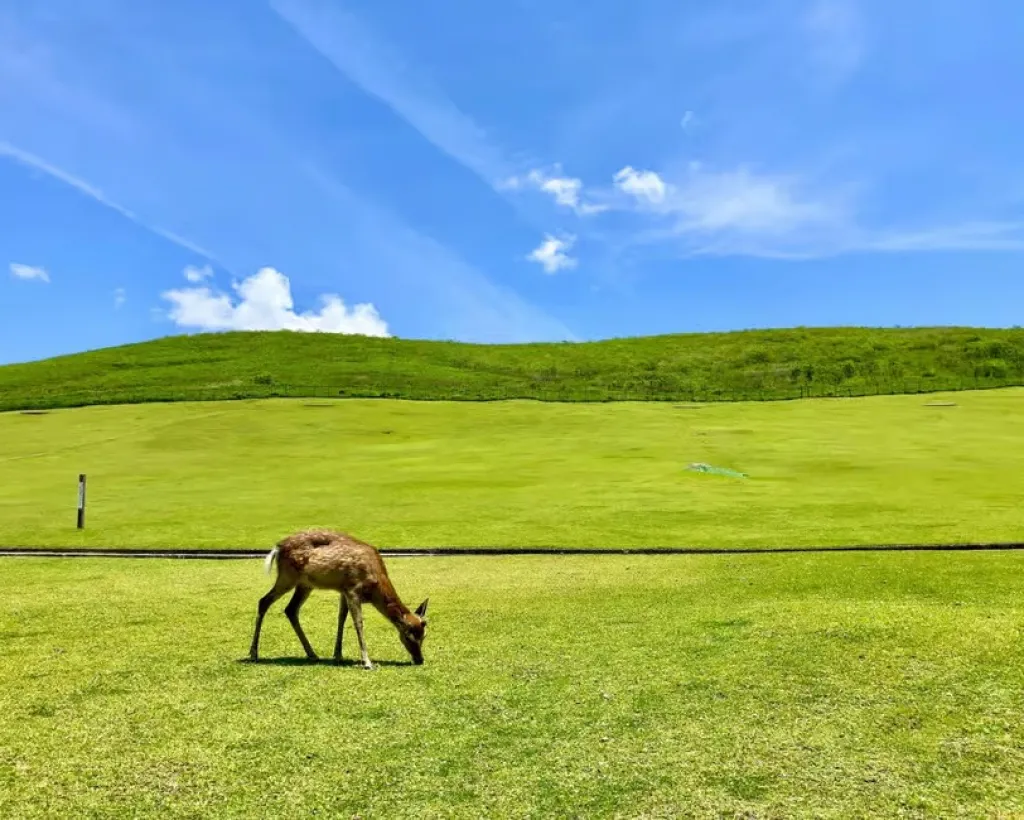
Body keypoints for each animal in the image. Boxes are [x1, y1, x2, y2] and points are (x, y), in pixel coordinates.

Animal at [248, 528, 429, 669]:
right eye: (408, 636)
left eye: (424, 636)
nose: (420, 659)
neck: (374, 588)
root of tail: (276, 548)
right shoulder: (352, 588)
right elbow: (358, 623)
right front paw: (367, 662)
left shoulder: (343, 591)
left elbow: (341, 618)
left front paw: (338, 655)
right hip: (287, 577)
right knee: (264, 601)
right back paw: (253, 653)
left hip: (304, 585)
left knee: (290, 609)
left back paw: (312, 653)